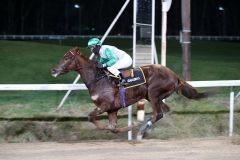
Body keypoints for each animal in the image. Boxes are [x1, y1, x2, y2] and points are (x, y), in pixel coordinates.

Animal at [52, 47, 208, 139]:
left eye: (66, 58)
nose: (53, 70)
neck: (97, 78)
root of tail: (175, 76)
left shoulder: (105, 105)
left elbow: (91, 117)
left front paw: (132, 126)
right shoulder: (112, 109)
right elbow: (113, 128)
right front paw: (129, 127)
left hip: (153, 93)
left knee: (158, 113)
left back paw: (141, 131)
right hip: (154, 96)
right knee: (164, 111)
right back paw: (144, 129)